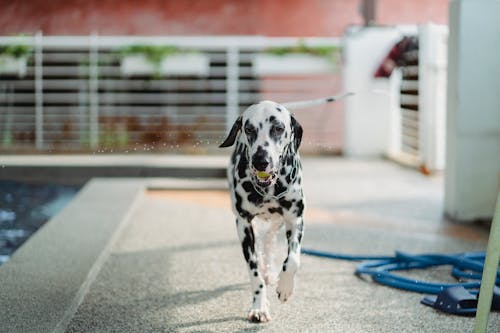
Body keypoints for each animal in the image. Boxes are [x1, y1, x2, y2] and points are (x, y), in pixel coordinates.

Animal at [219, 93, 352, 322]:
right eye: (249, 129)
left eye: (278, 128)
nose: (260, 161)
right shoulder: (243, 225)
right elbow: (254, 271)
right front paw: (259, 306)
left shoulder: (295, 220)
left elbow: (293, 260)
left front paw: (285, 287)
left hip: (279, 222)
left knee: (269, 240)